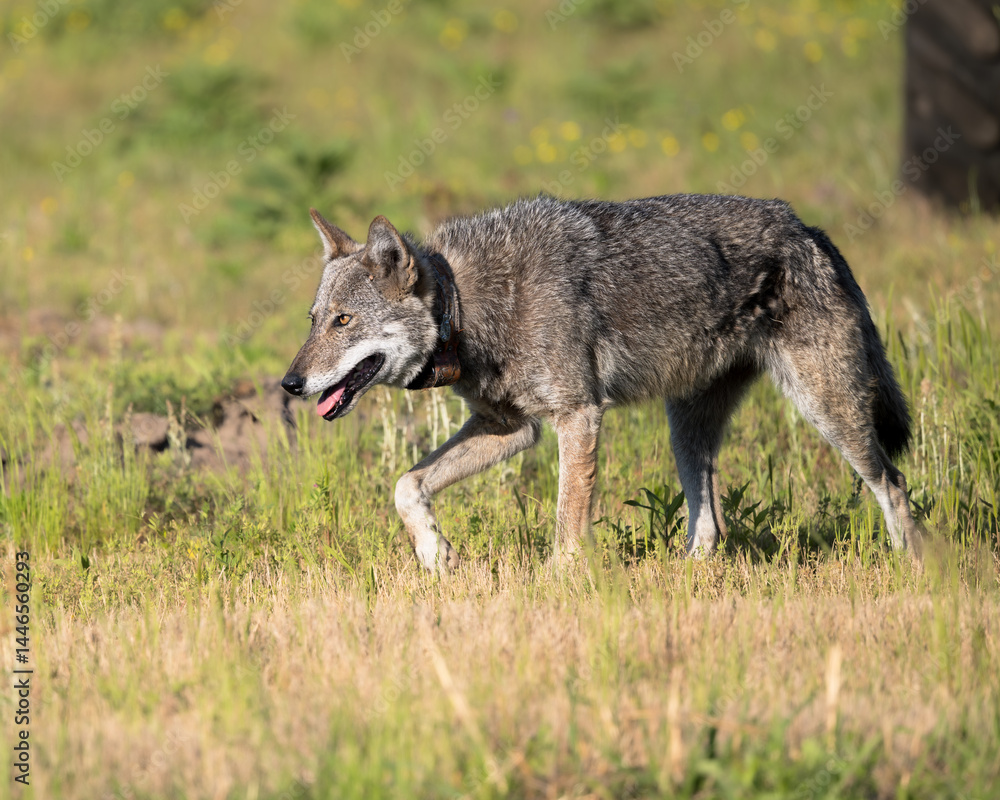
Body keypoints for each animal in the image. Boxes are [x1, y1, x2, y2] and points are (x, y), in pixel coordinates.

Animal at [282, 194, 923, 570]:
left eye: (344, 321)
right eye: (314, 320)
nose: (290, 383)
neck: (466, 308)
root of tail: (808, 228)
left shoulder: (578, 416)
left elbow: (567, 522)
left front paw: (558, 588)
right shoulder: (511, 429)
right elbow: (406, 486)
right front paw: (437, 555)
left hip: (828, 411)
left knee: (893, 485)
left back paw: (912, 570)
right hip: (685, 432)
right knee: (710, 524)